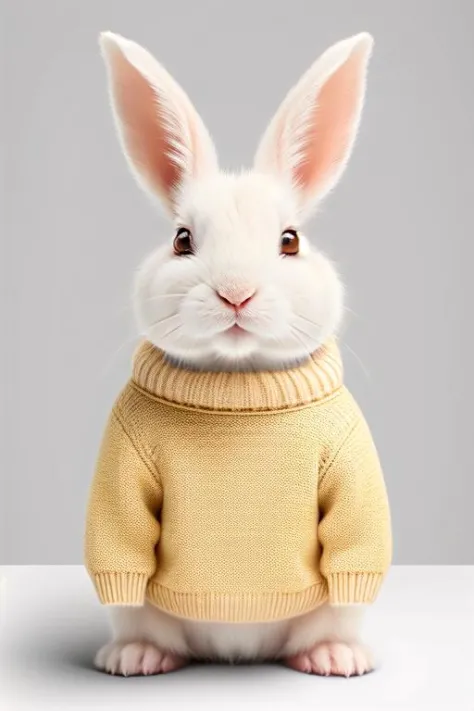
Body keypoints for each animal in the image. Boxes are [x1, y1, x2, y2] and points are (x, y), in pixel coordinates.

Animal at [94, 32, 380, 680]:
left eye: (290, 241)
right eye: (181, 240)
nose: (236, 293)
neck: (237, 384)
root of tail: (236, 652)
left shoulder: (349, 459)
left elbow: (356, 534)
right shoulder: (123, 457)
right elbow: (121, 539)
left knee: (328, 624)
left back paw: (333, 657)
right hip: (149, 617)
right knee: (146, 625)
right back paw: (138, 657)